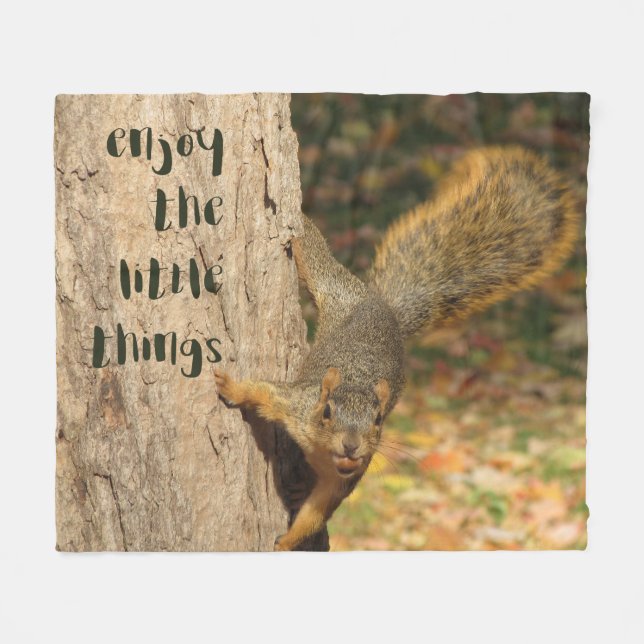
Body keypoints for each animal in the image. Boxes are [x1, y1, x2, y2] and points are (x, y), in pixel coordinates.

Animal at [214, 145, 580, 551]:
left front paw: (286, 541)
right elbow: (262, 391)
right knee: (316, 256)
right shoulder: (296, 405)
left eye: (378, 420)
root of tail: (384, 308)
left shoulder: (346, 478)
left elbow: (316, 513)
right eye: (326, 412)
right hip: (335, 288)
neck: (324, 453)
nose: (351, 447)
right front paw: (230, 386)